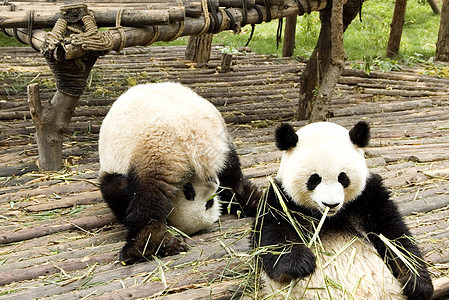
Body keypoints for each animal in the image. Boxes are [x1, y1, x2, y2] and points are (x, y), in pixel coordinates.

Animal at [98, 81, 260, 262]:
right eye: (209, 203)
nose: (213, 182)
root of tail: (190, 139)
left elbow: (117, 194)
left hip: (157, 153)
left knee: (148, 197)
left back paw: (144, 246)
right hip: (218, 141)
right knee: (233, 179)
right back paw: (256, 201)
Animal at [254, 122, 432, 300]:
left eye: (343, 178)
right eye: (314, 179)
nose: (331, 204)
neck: (329, 217)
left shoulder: (368, 198)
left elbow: (394, 235)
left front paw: (417, 283)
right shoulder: (281, 198)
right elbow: (271, 232)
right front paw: (300, 263)